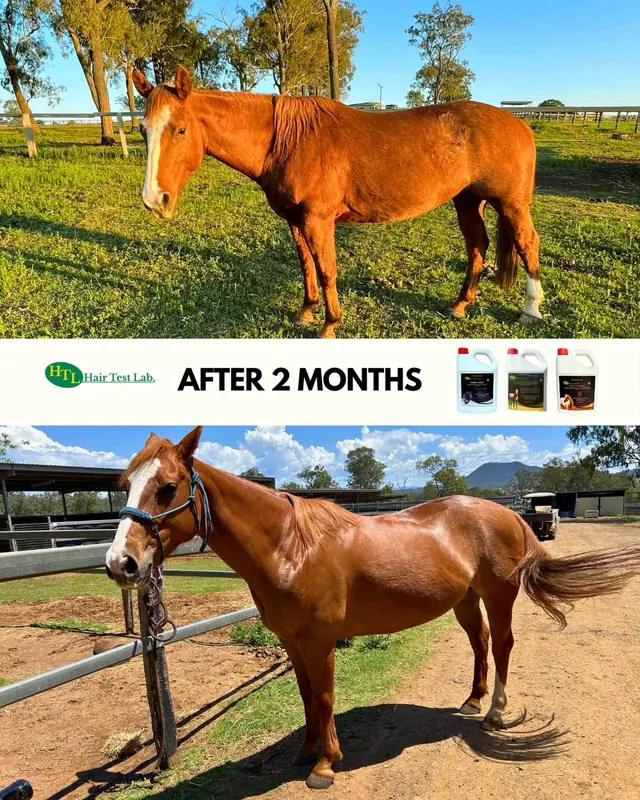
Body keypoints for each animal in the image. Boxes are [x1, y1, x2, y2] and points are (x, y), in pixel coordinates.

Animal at [105, 427, 640, 789]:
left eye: (168, 487)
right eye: (126, 483)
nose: (120, 563)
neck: (289, 546)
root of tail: (506, 511)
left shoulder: (320, 641)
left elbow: (324, 698)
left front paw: (325, 765)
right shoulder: (292, 642)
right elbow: (306, 698)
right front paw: (305, 751)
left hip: (498, 595)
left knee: (504, 644)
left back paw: (494, 712)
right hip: (466, 601)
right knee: (481, 643)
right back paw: (472, 701)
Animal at [131, 65, 544, 338]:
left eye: (180, 129)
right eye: (143, 129)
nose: (155, 200)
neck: (288, 140)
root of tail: (520, 123)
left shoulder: (319, 220)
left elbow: (327, 269)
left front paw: (330, 324)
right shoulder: (295, 221)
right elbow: (306, 267)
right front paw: (306, 312)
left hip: (510, 204)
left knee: (527, 244)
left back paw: (530, 309)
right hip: (467, 200)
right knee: (477, 247)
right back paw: (460, 304)